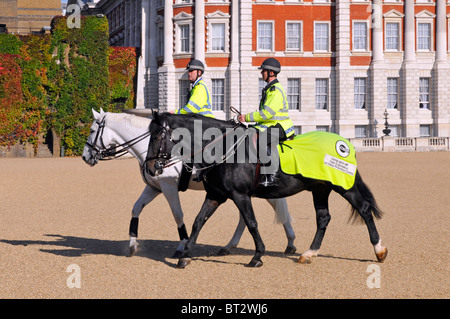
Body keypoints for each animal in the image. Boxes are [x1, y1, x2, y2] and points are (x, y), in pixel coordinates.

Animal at [82, 109, 298, 258]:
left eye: (92, 130)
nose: (85, 156)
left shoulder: (168, 188)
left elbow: (178, 214)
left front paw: (182, 246)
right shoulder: (154, 187)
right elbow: (136, 208)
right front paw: (132, 245)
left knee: (274, 206)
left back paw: (290, 241)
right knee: (245, 218)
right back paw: (232, 246)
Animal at [147, 114, 386, 268]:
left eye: (157, 136)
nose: (150, 168)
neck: (224, 148)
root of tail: (345, 143)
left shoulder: (240, 195)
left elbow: (252, 223)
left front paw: (257, 256)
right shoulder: (216, 195)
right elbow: (198, 221)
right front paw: (185, 254)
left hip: (344, 187)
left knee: (364, 209)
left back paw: (379, 250)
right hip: (320, 189)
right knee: (323, 218)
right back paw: (309, 254)